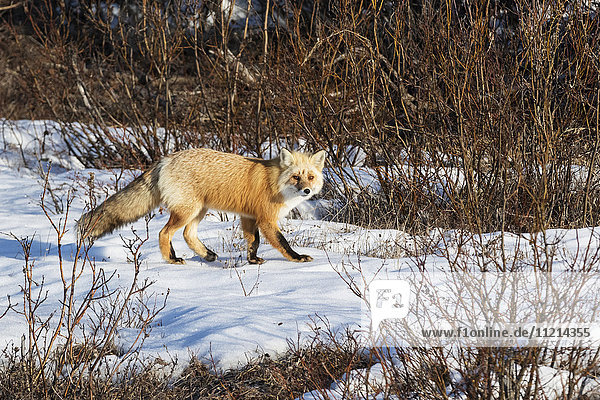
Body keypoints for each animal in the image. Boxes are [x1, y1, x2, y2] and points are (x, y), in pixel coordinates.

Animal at [79, 148, 326, 264]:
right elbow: (282, 243)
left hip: (199, 211)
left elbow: (253, 242)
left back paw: (207, 255)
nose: (307, 191)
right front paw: (297, 258)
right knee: (164, 233)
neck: (274, 182)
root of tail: (166, 158)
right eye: (296, 177)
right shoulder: (266, 218)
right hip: (187, 211)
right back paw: (172, 259)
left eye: (310, 177)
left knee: (188, 235)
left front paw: (252, 260)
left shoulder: (248, 216)